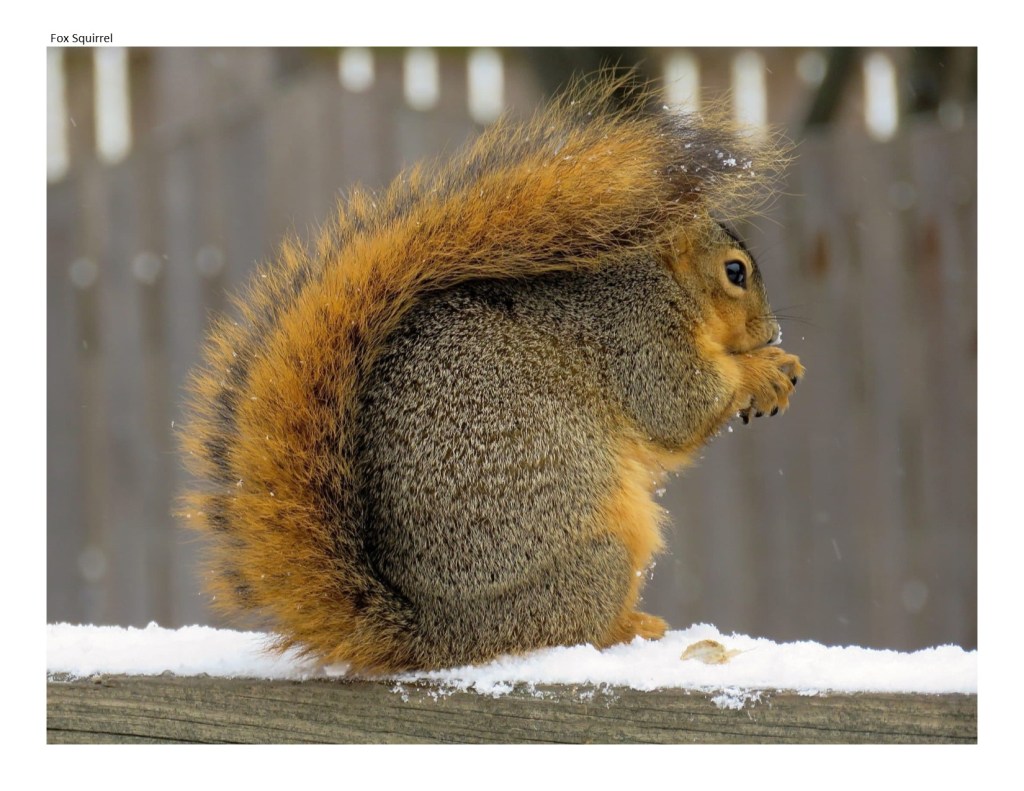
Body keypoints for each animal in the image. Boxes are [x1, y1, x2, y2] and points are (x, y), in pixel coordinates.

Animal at [179, 73, 804, 673]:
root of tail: (442, 635)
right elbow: (679, 405)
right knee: (571, 628)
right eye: (735, 272)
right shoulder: (638, 336)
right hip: (595, 558)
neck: (663, 281)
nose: (773, 333)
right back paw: (631, 626)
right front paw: (764, 372)